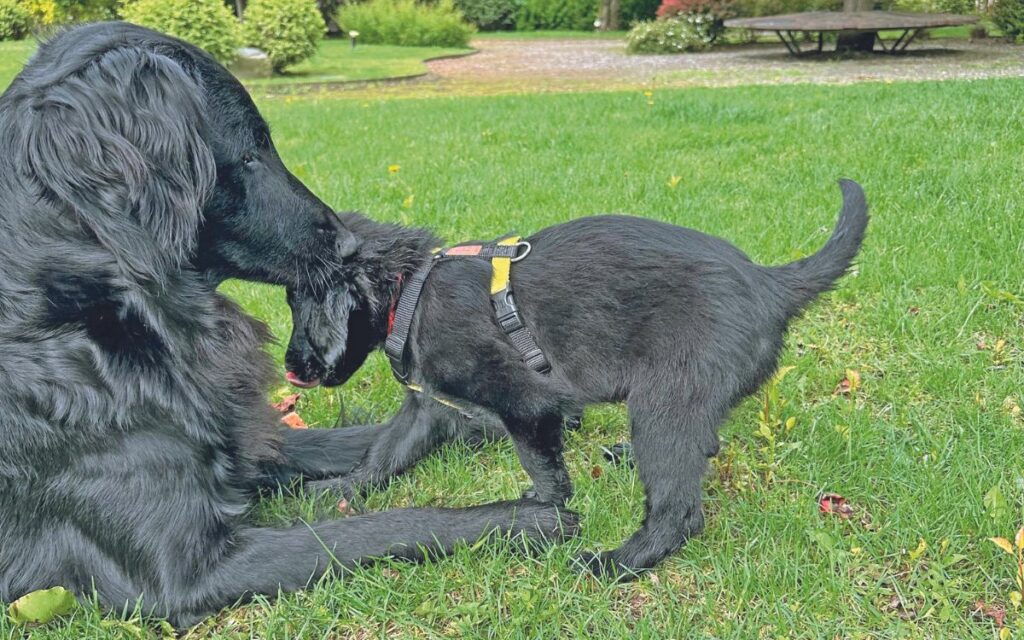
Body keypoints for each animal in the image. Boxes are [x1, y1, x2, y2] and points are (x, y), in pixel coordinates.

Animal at [0, 22, 573, 626]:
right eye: (251, 152)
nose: (349, 244)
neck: (86, 315)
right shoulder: (184, 575)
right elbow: (383, 525)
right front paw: (527, 517)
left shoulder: (243, 446)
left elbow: (350, 439)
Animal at [284, 181, 868, 577]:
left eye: (297, 305)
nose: (290, 370)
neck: (412, 287)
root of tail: (772, 283)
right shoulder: (430, 406)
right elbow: (385, 451)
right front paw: (342, 488)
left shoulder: (529, 405)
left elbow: (544, 472)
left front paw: (538, 516)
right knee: (703, 446)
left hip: (664, 399)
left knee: (680, 509)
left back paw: (617, 562)